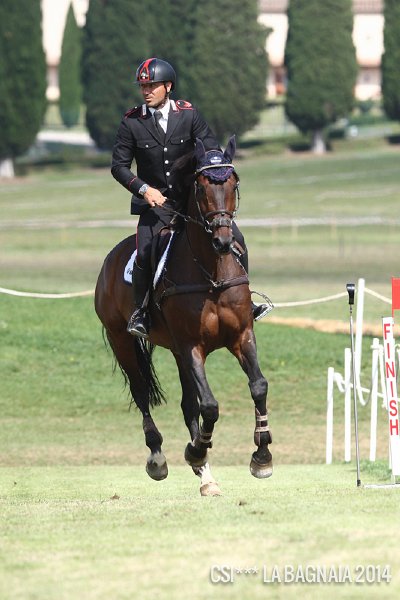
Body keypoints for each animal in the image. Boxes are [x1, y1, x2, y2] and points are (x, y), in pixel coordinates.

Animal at [94, 136, 272, 496]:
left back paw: (205, 475)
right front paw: (196, 451)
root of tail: (110, 259)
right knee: (141, 393)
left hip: (176, 351)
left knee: (187, 403)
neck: (211, 272)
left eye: (233, 182)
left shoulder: (241, 337)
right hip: (123, 341)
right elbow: (210, 405)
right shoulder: (193, 346)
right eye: (201, 186)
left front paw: (261, 456)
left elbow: (258, 386)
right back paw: (159, 458)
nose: (222, 239)